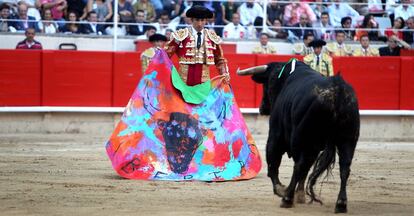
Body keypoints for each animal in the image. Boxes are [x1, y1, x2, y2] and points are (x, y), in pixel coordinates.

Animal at [238, 60, 360, 213]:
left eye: (268, 83)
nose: (262, 108)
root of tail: (337, 90)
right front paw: (300, 195)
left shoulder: (276, 135)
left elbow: (273, 163)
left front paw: (281, 190)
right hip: (347, 140)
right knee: (344, 167)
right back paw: (341, 203)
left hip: (305, 140)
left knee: (299, 166)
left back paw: (287, 198)